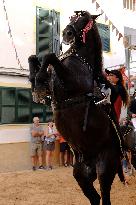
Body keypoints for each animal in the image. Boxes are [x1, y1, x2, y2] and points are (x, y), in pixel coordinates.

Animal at [28, 11, 130, 205]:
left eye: (84, 19)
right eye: (71, 18)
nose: (67, 33)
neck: (80, 59)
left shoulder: (71, 83)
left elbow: (50, 56)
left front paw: (40, 79)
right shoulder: (53, 94)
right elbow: (34, 58)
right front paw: (37, 83)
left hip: (105, 168)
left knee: (104, 195)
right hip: (81, 175)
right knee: (95, 197)